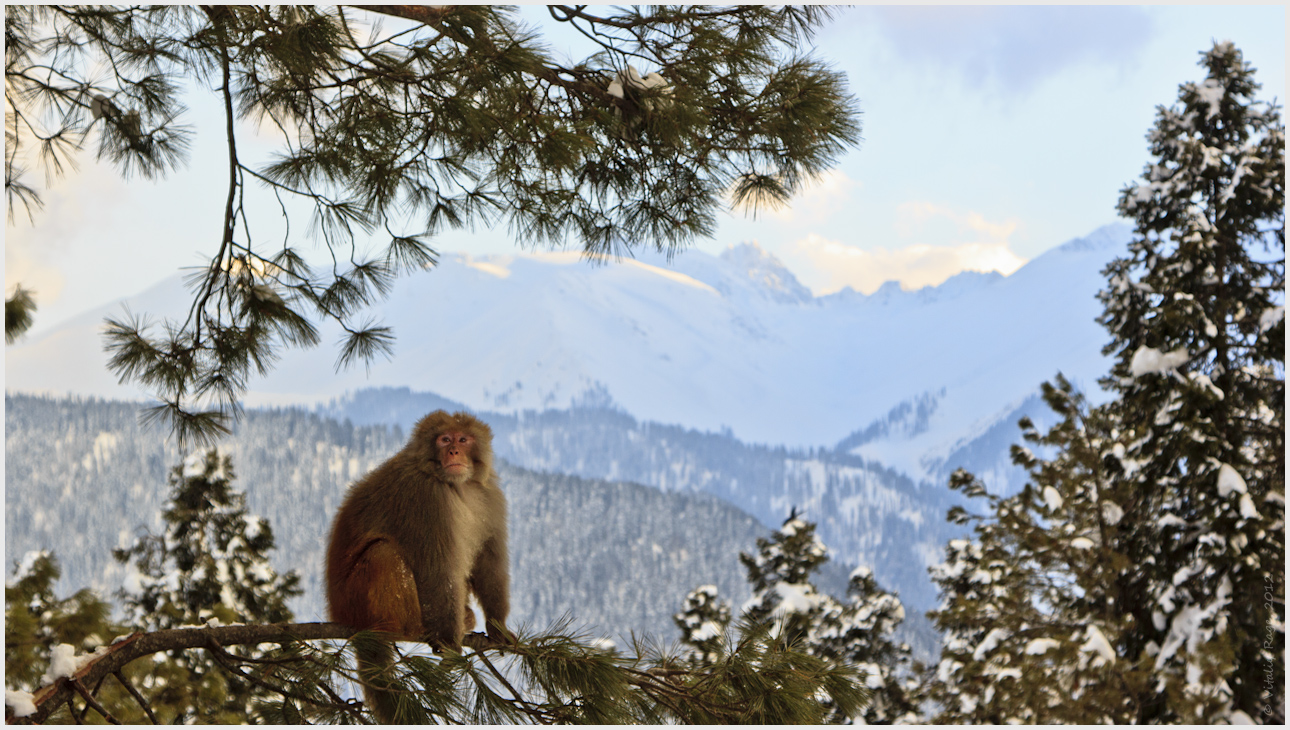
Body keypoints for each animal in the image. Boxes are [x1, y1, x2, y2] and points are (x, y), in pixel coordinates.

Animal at [325, 410, 510, 722]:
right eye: (444, 439)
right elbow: (437, 569)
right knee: (384, 554)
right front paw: (448, 643)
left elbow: (488, 561)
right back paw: (411, 626)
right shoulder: (425, 497)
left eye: (463, 439)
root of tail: (336, 609)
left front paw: (498, 625)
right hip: (353, 601)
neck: (456, 484)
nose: (453, 451)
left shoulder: (489, 496)